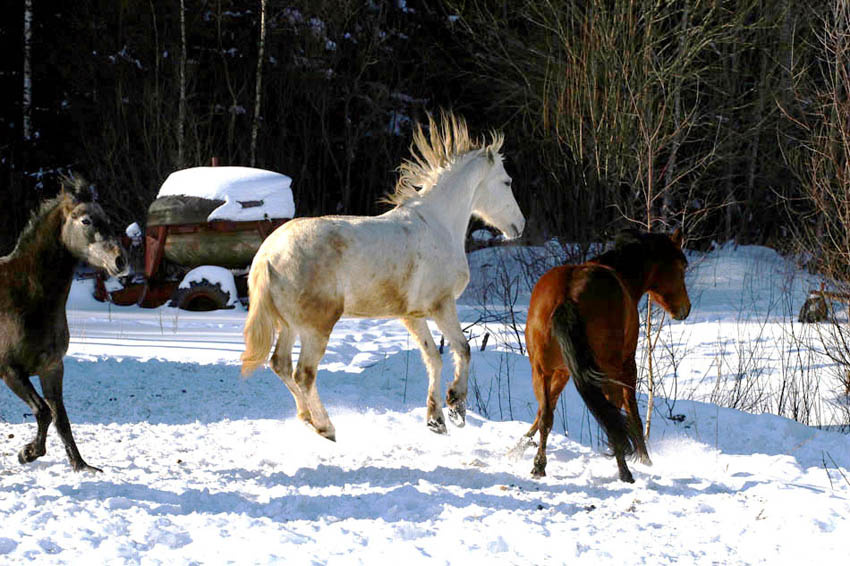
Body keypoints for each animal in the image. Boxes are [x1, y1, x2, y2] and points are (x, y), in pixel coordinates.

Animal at [0, 178, 127, 472]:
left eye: (107, 219)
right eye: (86, 220)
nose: (121, 261)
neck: (26, 297)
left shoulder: (52, 367)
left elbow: (60, 418)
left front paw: (81, 466)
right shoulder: (10, 370)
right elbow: (43, 411)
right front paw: (27, 453)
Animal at [241, 113, 525, 440]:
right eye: (507, 182)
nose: (519, 226)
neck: (437, 224)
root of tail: (268, 256)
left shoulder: (412, 315)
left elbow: (433, 358)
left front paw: (436, 420)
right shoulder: (442, 305)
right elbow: (463, 349)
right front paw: (456, 408)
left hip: (287, 325)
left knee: (281, 365)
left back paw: (307, 419)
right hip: (316, 327)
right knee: (304, 374)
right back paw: (326, 427)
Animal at [522, 229, 690, 483]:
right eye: (682, 268)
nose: (685, 309)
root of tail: (567, 296)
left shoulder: (562, 372)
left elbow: (546, 409)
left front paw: (523, 442)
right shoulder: (628, 365)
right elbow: (632, 412)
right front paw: (645, 459)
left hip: (542, 370)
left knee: (547, 418)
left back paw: (539, 465)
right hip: (609, 371)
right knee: (613, 420)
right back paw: (625, 472)